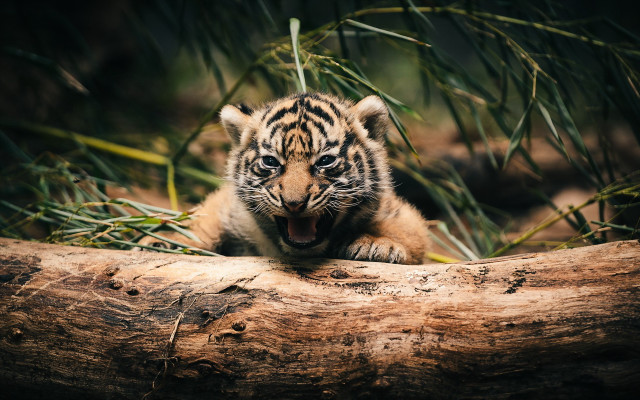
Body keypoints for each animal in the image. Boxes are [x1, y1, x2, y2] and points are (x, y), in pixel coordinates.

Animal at [142, 93, 430, 264]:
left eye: (325, 161)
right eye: (271, 162)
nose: (294, 203)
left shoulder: (398, 211)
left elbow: (408, 230)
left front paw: (376, 245)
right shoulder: (228, 206)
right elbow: (203, 218)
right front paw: (166, 240)